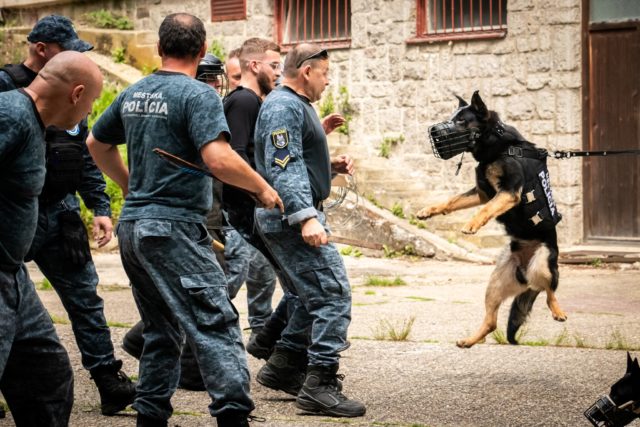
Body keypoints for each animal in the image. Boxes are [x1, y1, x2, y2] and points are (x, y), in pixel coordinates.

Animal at [418, 92, 568, 350]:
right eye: (452, 117)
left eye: (461, 121)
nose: (435, 132)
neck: (497, 144)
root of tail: (525, 275)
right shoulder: (482, 192)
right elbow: (452, 201)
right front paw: (429, 210)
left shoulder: (508, 192)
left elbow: (486, 209)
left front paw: (471, 225)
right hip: (494, 285)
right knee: (491, 323)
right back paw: (469, 340)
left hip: (544, 265)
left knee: (549, 292)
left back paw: (558, 311)